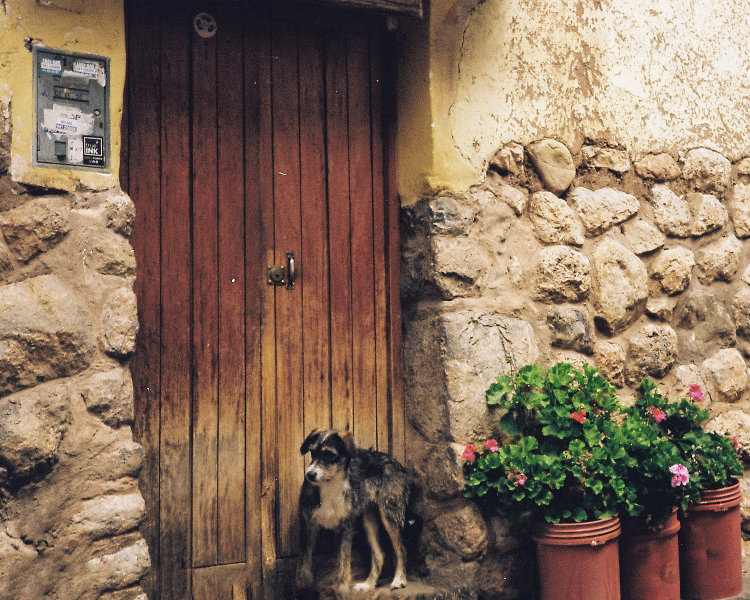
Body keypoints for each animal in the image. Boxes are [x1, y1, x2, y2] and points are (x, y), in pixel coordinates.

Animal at [296, 428, 412, 592]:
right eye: (312, 452)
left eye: (329, 454)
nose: (310, 475)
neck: (329, 485)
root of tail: (397, 463)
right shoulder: (308, 526)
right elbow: (304, 563)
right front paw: (302, 587)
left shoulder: (346, 528)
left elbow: (344, 563)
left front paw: (342, 588)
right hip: (369, 520)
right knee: (379, 554)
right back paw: (368, 584)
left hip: (390, 515)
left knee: (401, 549)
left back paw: (399, 580)